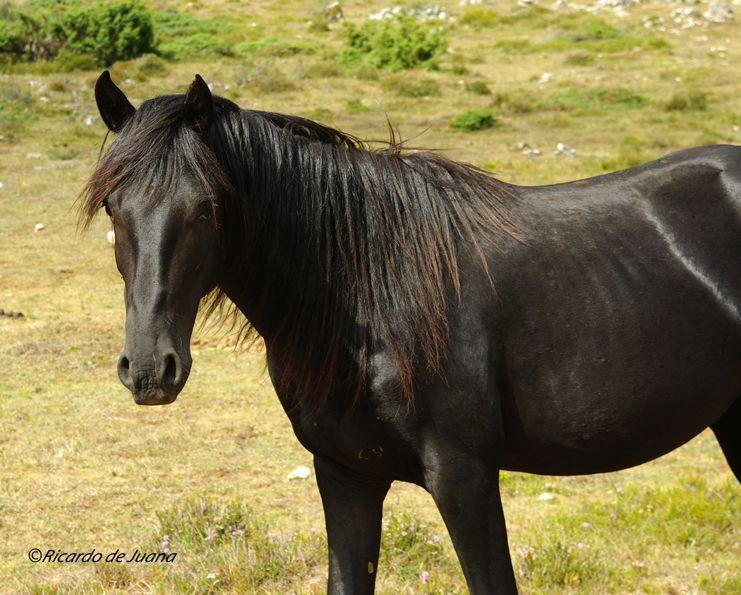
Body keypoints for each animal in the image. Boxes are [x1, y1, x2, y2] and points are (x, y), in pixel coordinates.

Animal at [81, 71, 740, 594]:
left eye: (207, 208)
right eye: (113, 207)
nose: (150, 370)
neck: (374, 297)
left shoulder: (465, 479)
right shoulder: (345, 476)